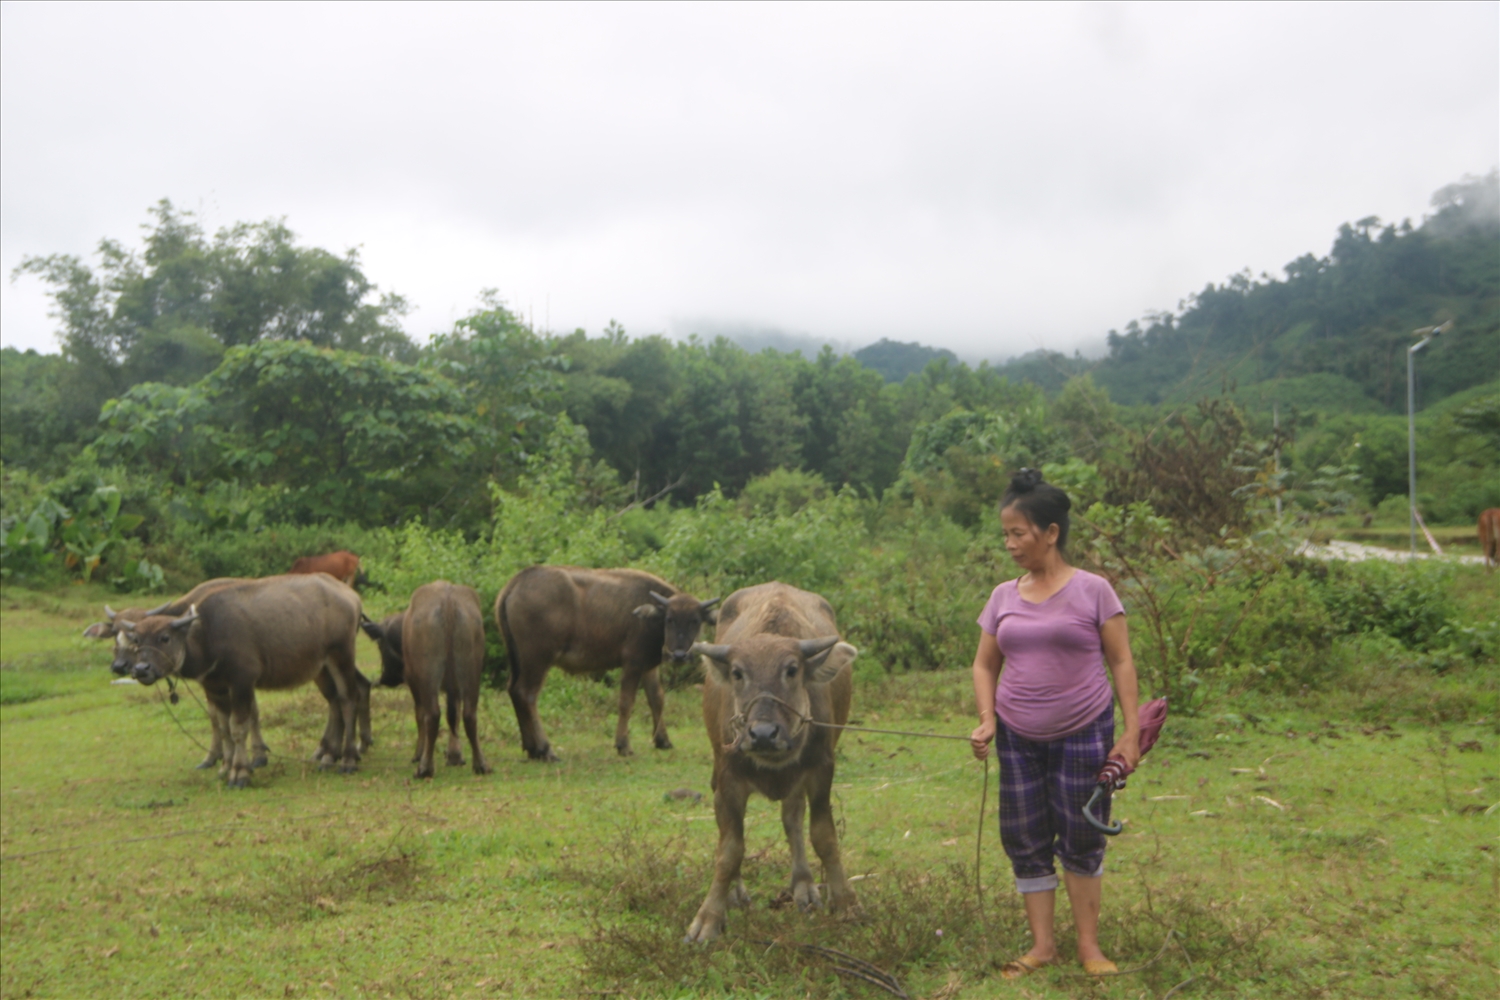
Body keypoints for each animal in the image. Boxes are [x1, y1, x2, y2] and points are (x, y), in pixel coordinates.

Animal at [126, 569, 366, 791]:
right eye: (137, 640)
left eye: (165, 638)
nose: (141, 669)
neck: (208, 634)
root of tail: (350, 596)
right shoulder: (216, 688)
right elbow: (224, 728)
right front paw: (226, 767)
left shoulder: (242, 682)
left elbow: (239, 727)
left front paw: (240, 772)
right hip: (321, 667)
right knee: (335, 701)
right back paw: (328, 756)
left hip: (341, 656)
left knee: (349, 699)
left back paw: (348, 759)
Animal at [357, 578, 492, 779]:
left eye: (380, 645)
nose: (386, 678)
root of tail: (448, 602)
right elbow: (454, 715)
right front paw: (455, 755)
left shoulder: (414, 680)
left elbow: (420, 715)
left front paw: (419, 753)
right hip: (471, 670)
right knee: (469, 714)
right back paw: (480, 764)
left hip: (428, 676)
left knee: (433, 714)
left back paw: (425, 767)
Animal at [495, 566, 717, 761]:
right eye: (669, 619)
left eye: (695, 621)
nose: (679, 655)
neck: (650, 617)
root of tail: (517, 582)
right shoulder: (632, 663)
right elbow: (626, 702)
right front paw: (623, 745)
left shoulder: (648, 665)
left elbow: (657, 699)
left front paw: (662, 740)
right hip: (538, 659)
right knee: (527, 694)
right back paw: (545, 749)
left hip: (517, 659)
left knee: (513, 690)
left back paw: (531, 748)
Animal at [687, 581, 864, 941]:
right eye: (738, 673)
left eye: (791, 670)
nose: (763, 734)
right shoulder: (728, 779)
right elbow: (729, 849)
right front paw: (709, 916)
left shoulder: (821, 770)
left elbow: (823, 836)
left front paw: (844, 901)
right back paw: (736, 893)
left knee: (792, 817)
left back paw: (804, 885)